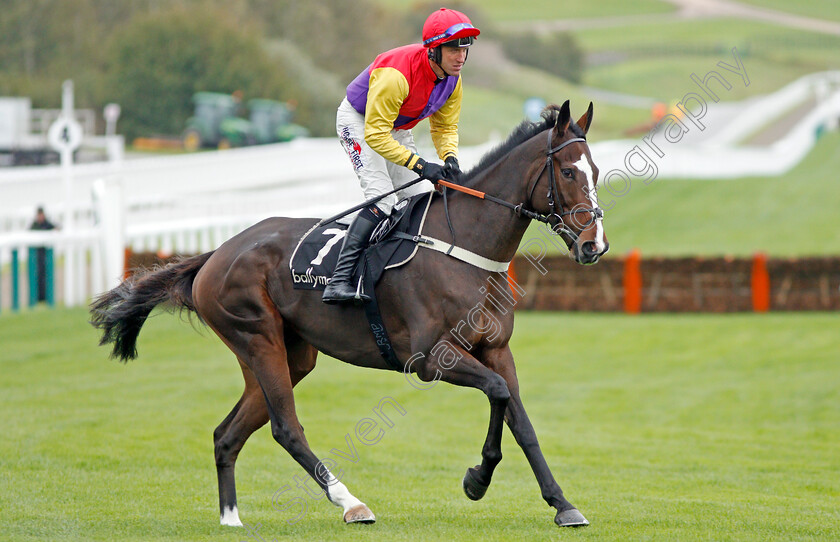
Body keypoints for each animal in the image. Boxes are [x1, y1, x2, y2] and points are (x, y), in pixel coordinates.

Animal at [92, 102, 612, 532]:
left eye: (596, 170)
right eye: (568, 171)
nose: (594, 245)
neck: (464, 247)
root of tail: (215, 254)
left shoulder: (496, 349)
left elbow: (521, 421)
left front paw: (562, 504)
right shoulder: (431, 358)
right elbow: (499, 394)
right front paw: (476, 479)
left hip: (290, 355)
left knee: (227, 433)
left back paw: (231, 518)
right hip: (257, 337)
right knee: (286, 427)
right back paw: (351, 503)